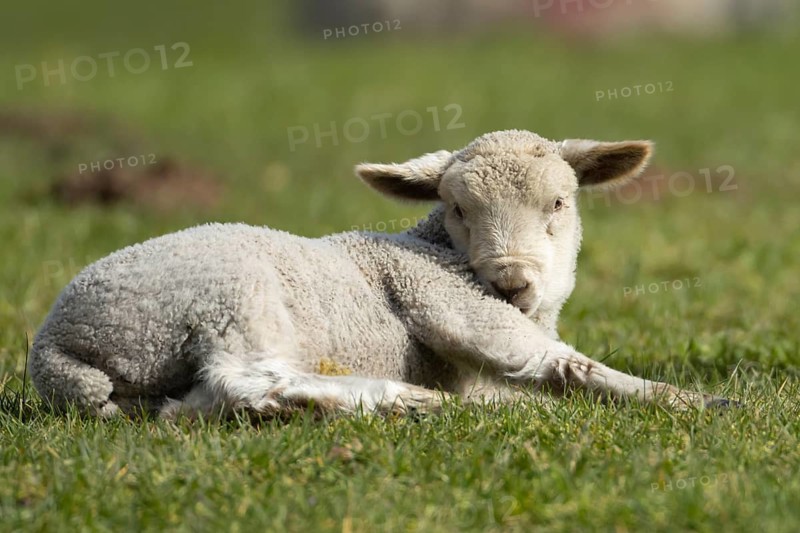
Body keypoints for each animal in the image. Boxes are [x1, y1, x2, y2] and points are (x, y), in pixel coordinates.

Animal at [28, 129, 732, 419]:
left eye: (559, 203)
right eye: (458, 208)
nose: (511, 284)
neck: (433, 246)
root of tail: (57, 349)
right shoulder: (446, 300)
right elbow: (561, 363)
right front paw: (693, 400)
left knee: (188, 408)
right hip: (228, 300)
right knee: (243, 380)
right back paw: (400, 400)